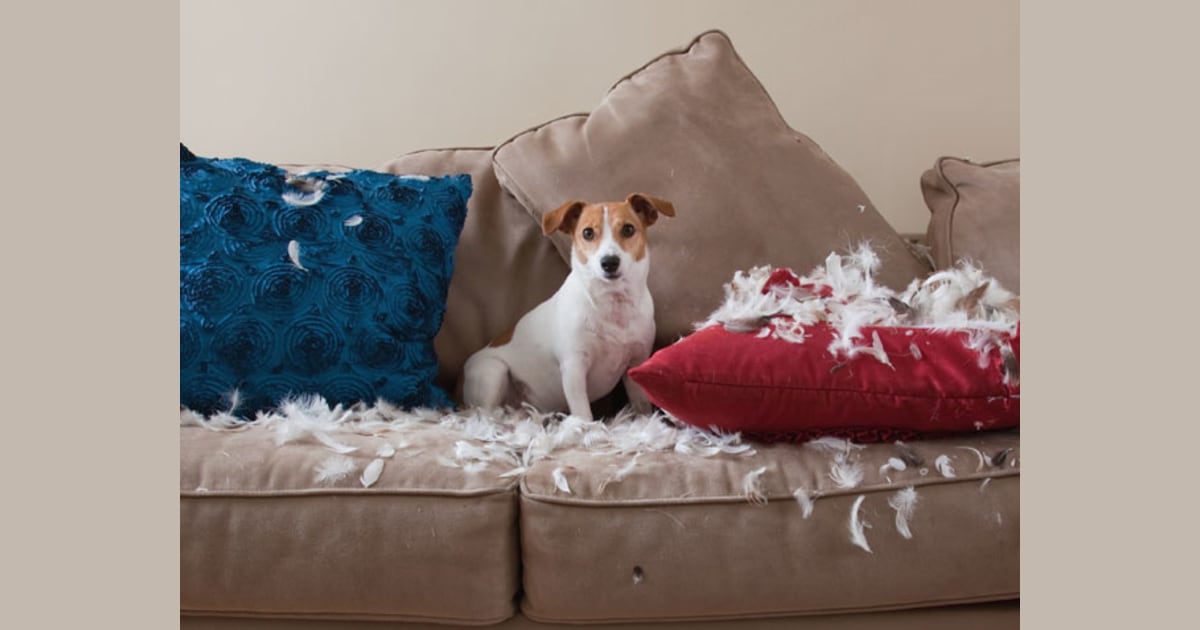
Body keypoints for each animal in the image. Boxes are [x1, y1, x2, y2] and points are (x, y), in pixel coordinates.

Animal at [460, 192, 676, 417]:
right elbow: (583, 413)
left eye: (628, 229)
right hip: (492, 372)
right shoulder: (574, 368)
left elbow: (642, 406)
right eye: (587, 233)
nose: (609, 262)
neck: (612, 302)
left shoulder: (636, 362)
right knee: (485, 415)